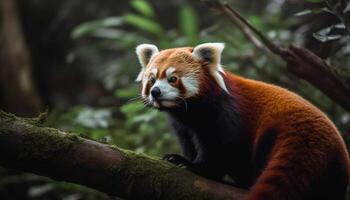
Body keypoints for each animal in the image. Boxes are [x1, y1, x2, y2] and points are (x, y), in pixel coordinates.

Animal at [134, 43, 350, 199]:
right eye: (152, 79)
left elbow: (221, 149)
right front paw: (185, 158)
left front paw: (195, 166)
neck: (189, 112)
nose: (155, 92)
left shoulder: (225, 114)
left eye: (173, 79)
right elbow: (190, 142)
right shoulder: (183, 126)